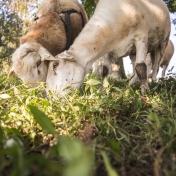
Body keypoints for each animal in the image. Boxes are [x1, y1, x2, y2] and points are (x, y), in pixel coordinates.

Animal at [42, 0, 170, 94]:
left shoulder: (141, 37)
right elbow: (105, 70)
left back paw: (152, 82)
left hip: (163, 42)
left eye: (55, 65)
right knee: (135, 65)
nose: (50, 95)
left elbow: (141, 67)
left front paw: (145, 91)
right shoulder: (108, 50)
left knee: (156, 65)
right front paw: (103, 90)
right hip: (133, 51)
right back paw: (131, 83)